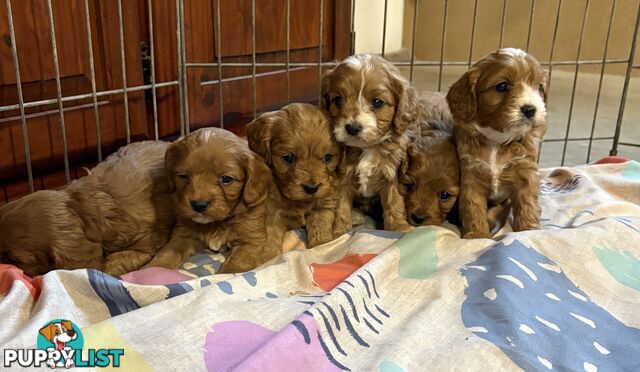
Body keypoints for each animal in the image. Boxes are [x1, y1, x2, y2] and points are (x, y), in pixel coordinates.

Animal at [144, 129, 276, 274]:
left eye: (226, 179)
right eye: (183, 176)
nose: (198, 205)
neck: (216, 223)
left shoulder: (251, 241)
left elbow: (235, 267)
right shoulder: (183, 235)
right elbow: (167, 253)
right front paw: (151, 271)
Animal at [322, 53, 422, 231]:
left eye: (378, 102)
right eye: (337, 99)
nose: (352, 128)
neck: (367, 147)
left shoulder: (393, 174)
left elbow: (394, 202)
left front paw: (399, 228)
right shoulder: (343, 177)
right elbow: (341, 207)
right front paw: (339, 231)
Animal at [448, 48, 548, 238]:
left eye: (538, 87)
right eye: (502, 86)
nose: (530, 109)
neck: (497, 140)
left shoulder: (526, 173)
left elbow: (527, 205)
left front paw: (528, 230)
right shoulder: (471, 176)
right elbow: (473, 208)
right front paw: (477, 235)